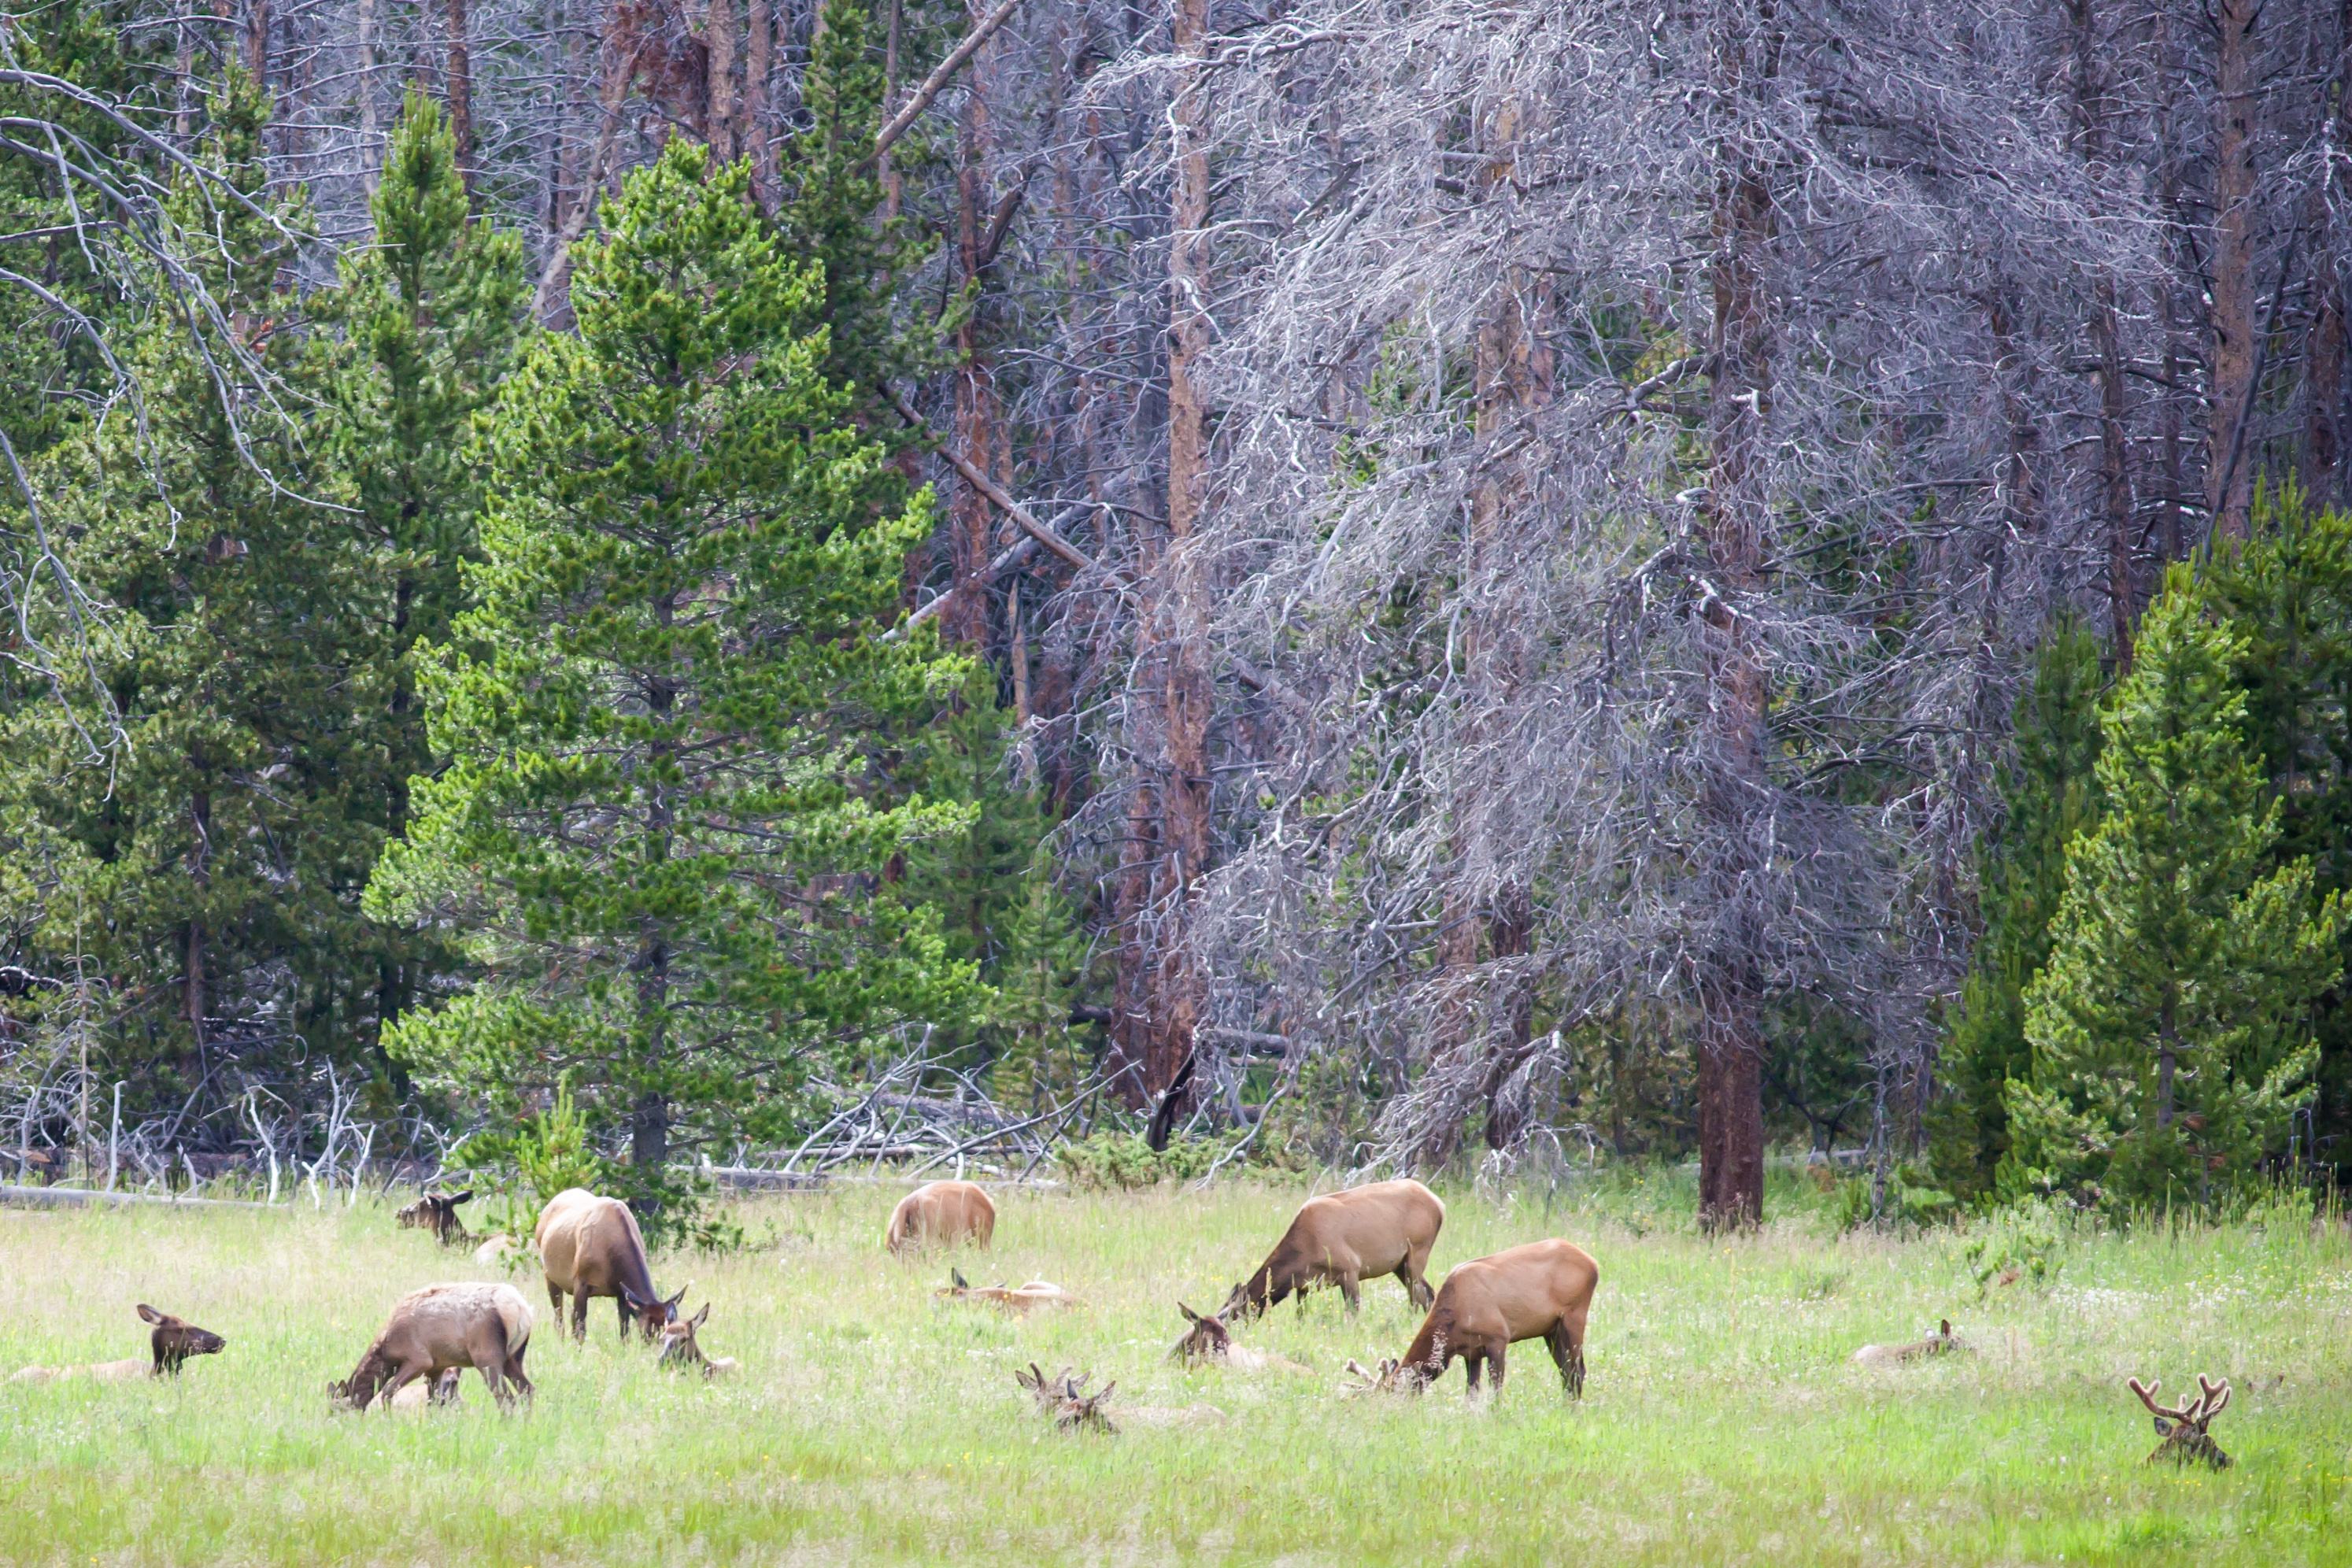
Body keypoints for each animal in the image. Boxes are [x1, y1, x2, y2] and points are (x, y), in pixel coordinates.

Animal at [329, 1282, 534, 1413]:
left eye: (337, 1409)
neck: (387, 1350)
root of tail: (521, 1308)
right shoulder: (437, 1367)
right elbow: (433, 1402)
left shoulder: (419, 1360)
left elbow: (387, 1391)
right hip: (513, 1357)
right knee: (528, 1389)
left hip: (486, 1357)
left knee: (506, 1398)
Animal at [534, 1187, 685, 1342]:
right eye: (649, 1330)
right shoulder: (580, 1282)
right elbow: (580, 1329)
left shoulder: (621, 1291)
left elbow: (624, 1331)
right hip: (549, 1275)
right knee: (559, 1318)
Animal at [1220, 1178, 1443, 1320]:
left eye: (1234, 1314)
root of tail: (1440, 1205)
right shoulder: (1304, 1284)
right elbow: (1300, 1315)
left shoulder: (1350, 1270)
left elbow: (1353, 1312)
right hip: (1400, 1264)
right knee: (1428, 1294)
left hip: (1417, 1252)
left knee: (1417, 1297)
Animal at [1343, 1237, 1598, 1401]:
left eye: (1396, 1393)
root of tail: (1593, 1263)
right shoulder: (1471, 1353)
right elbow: (1472, 1393)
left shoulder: (1499, 1337)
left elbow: (1496, 1388)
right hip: (1550, 1329)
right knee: (1566, 1369)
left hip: (1574, 1315)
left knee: (1578, 1369)